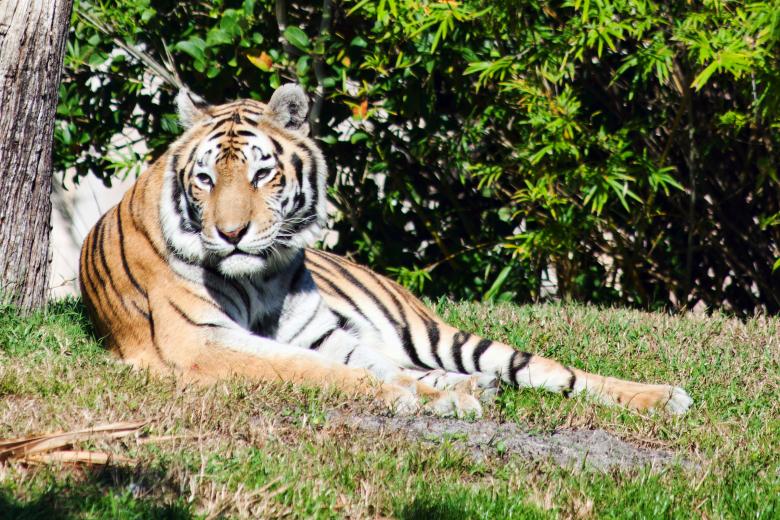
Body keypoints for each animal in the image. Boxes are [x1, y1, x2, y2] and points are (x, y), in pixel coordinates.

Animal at [79, 83, 692, 417]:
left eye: (262, 174)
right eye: (205, 179)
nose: (230, 234)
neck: (262, 276)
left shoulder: (319, 335)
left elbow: (355, 367)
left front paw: (434, 397)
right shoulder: (201, 342)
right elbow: (323, 371)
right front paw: (435, 399)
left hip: (430, 332)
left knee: (548, 370)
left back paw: (662, 397)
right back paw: (469, 388)